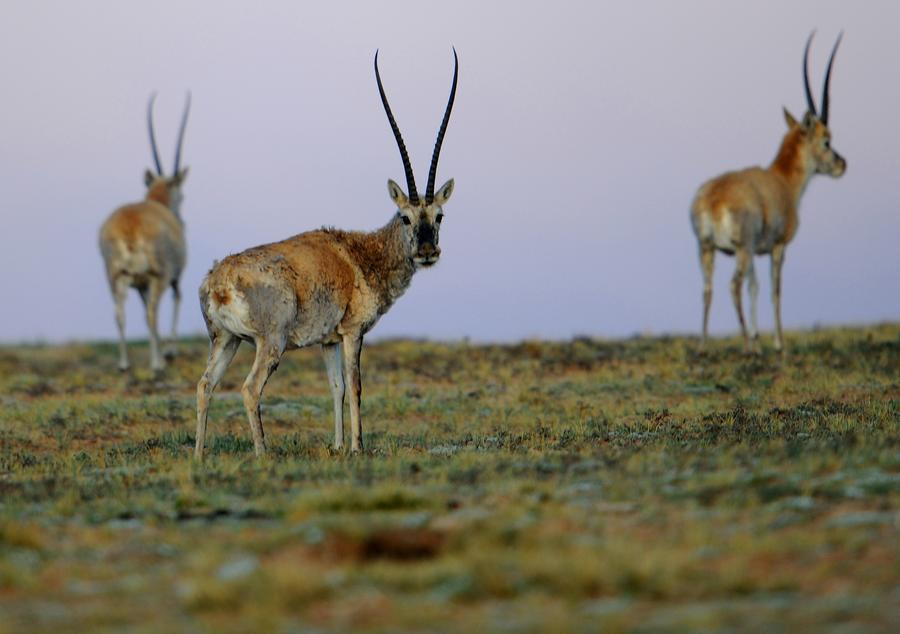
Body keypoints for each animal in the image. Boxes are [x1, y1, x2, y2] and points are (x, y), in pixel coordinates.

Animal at [100, 94, 192, 370]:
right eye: (182, 194)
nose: (181, 219)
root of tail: (130, 225)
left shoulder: (139, 284)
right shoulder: (174, 275)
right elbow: (178, 298)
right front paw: (169, 351)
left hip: (117, 277)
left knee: (120, 314)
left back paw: (124, 365)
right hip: (158, 276)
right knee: (153, 312)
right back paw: (157, 364)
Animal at [194, 48, 460, 454]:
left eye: (439, 215)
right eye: (405, 217)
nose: (428, 251)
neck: (364, 254)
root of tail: (219, 281)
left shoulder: (328, 342)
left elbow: (335, 388)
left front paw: (336, 446)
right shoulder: (352, 333)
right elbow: (356, 387)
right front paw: (357, 447)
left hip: (225, 341)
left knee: (205, 385)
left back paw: (198, 456)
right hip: (270, 343)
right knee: (250, 389)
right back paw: (263, 453)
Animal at [692, 34, 848, 354]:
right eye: (827, 141)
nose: (842, 164)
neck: (781, 180)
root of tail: (712, 200)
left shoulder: (755, 251)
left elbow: (755, 287)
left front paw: (757, 336)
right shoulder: (777, 247)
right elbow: (775, 290)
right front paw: (777, 343)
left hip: (708, 249)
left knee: (708, 289)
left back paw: (703, 346)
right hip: (739, 249)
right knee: (733, 286)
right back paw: (747, 347)